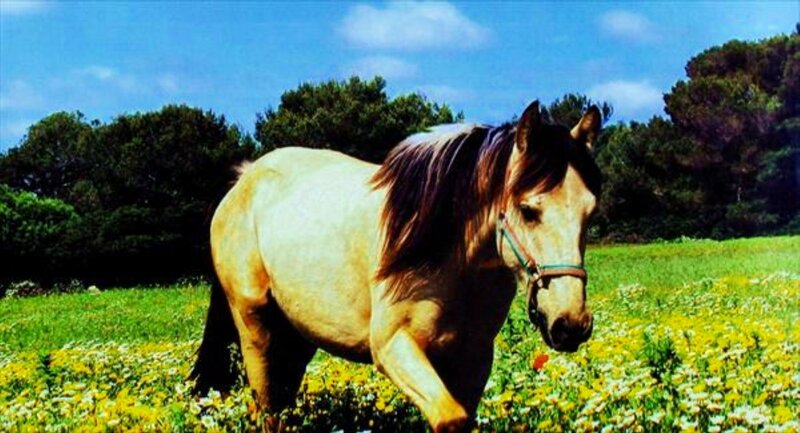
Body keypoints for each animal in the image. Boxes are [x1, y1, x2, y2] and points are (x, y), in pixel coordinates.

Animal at [190, 101, 603, 432]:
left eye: (590, 213)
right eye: (528, 210)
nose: (570, 324)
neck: (451, 257)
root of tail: (244, 179)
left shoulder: (474, 358)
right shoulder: (392, 347)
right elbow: (449, 418)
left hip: (297, 335)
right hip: (254, 327)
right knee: (267, 409)